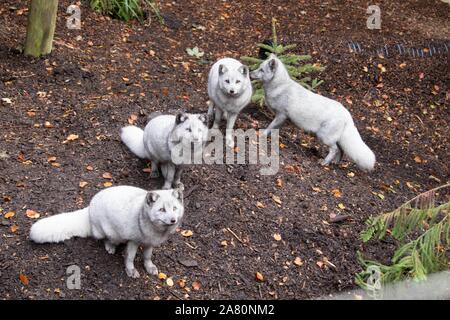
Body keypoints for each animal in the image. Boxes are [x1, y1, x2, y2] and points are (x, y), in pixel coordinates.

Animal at [29, 185, 185, 278]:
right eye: (162, 209)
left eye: (174, 208)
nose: (173, 220)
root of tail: (90, 207)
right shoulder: (133, 241)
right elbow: (130, 258)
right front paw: (130, 270)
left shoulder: (150, 243)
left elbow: (147, 256)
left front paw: (149, 267)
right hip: (113, 234)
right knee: (105, 240)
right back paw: (110, 247)